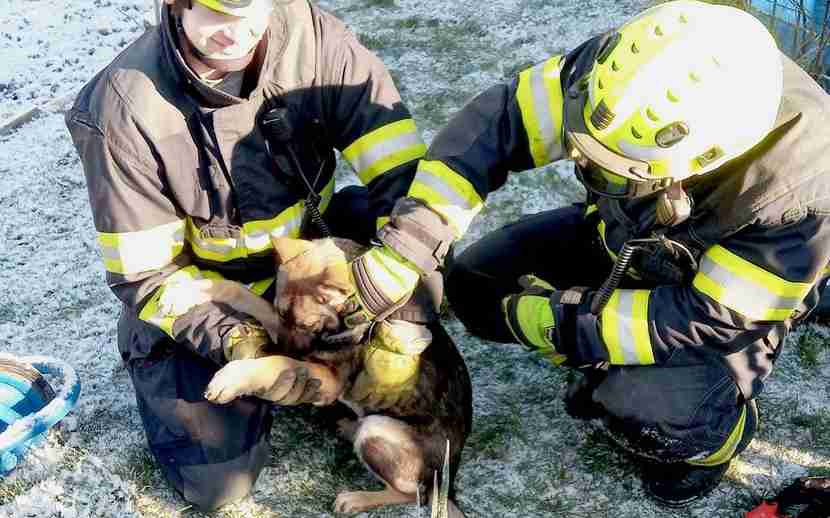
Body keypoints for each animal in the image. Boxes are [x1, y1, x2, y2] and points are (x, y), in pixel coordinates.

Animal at [163, 238, 474, 516]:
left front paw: (233, 378)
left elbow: (279, 363)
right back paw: (348, 428)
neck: (346, 318)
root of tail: (449, 480)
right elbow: (237, 290)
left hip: (377, 430)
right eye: (284, 316)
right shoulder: (277, 323)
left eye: (307, 324)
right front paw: (186, 293)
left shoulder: (328, 378)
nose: (274, 345)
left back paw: (356, 498)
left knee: (417, 494)